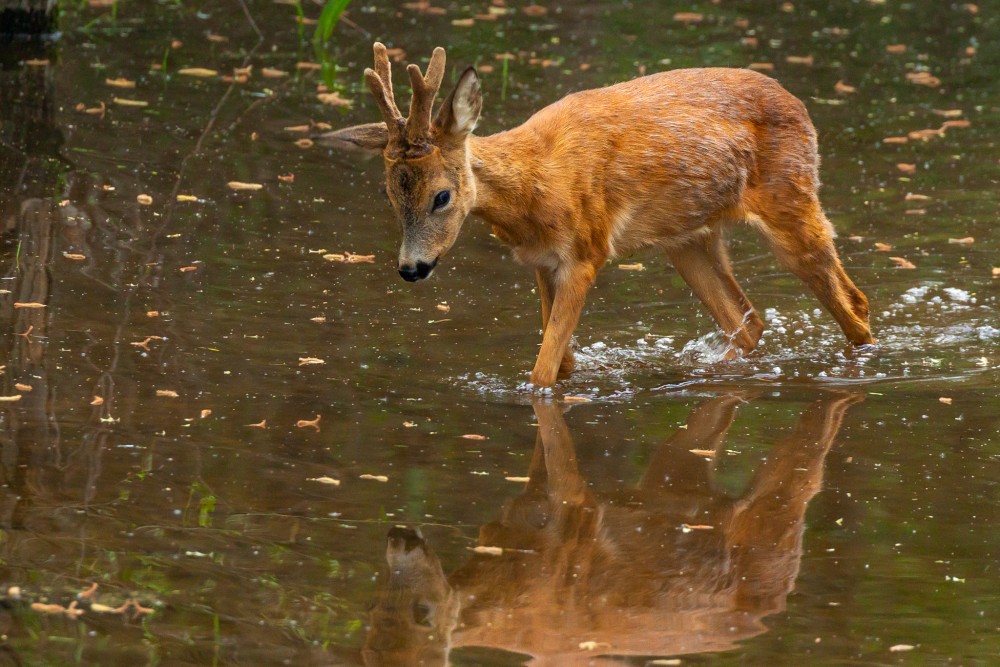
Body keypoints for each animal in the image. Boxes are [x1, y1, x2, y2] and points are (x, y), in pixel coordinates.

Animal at [330, 44, 876, 388]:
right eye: (389, 194)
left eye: (442, 196)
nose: (411, 268)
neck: (535, 189)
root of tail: (800, 106)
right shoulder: (541, 263)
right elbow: (562, 360)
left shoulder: (586, 252)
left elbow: (543, 372)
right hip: (688, 240)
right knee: (749, 321)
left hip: (792, 200)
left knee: (854, 303)